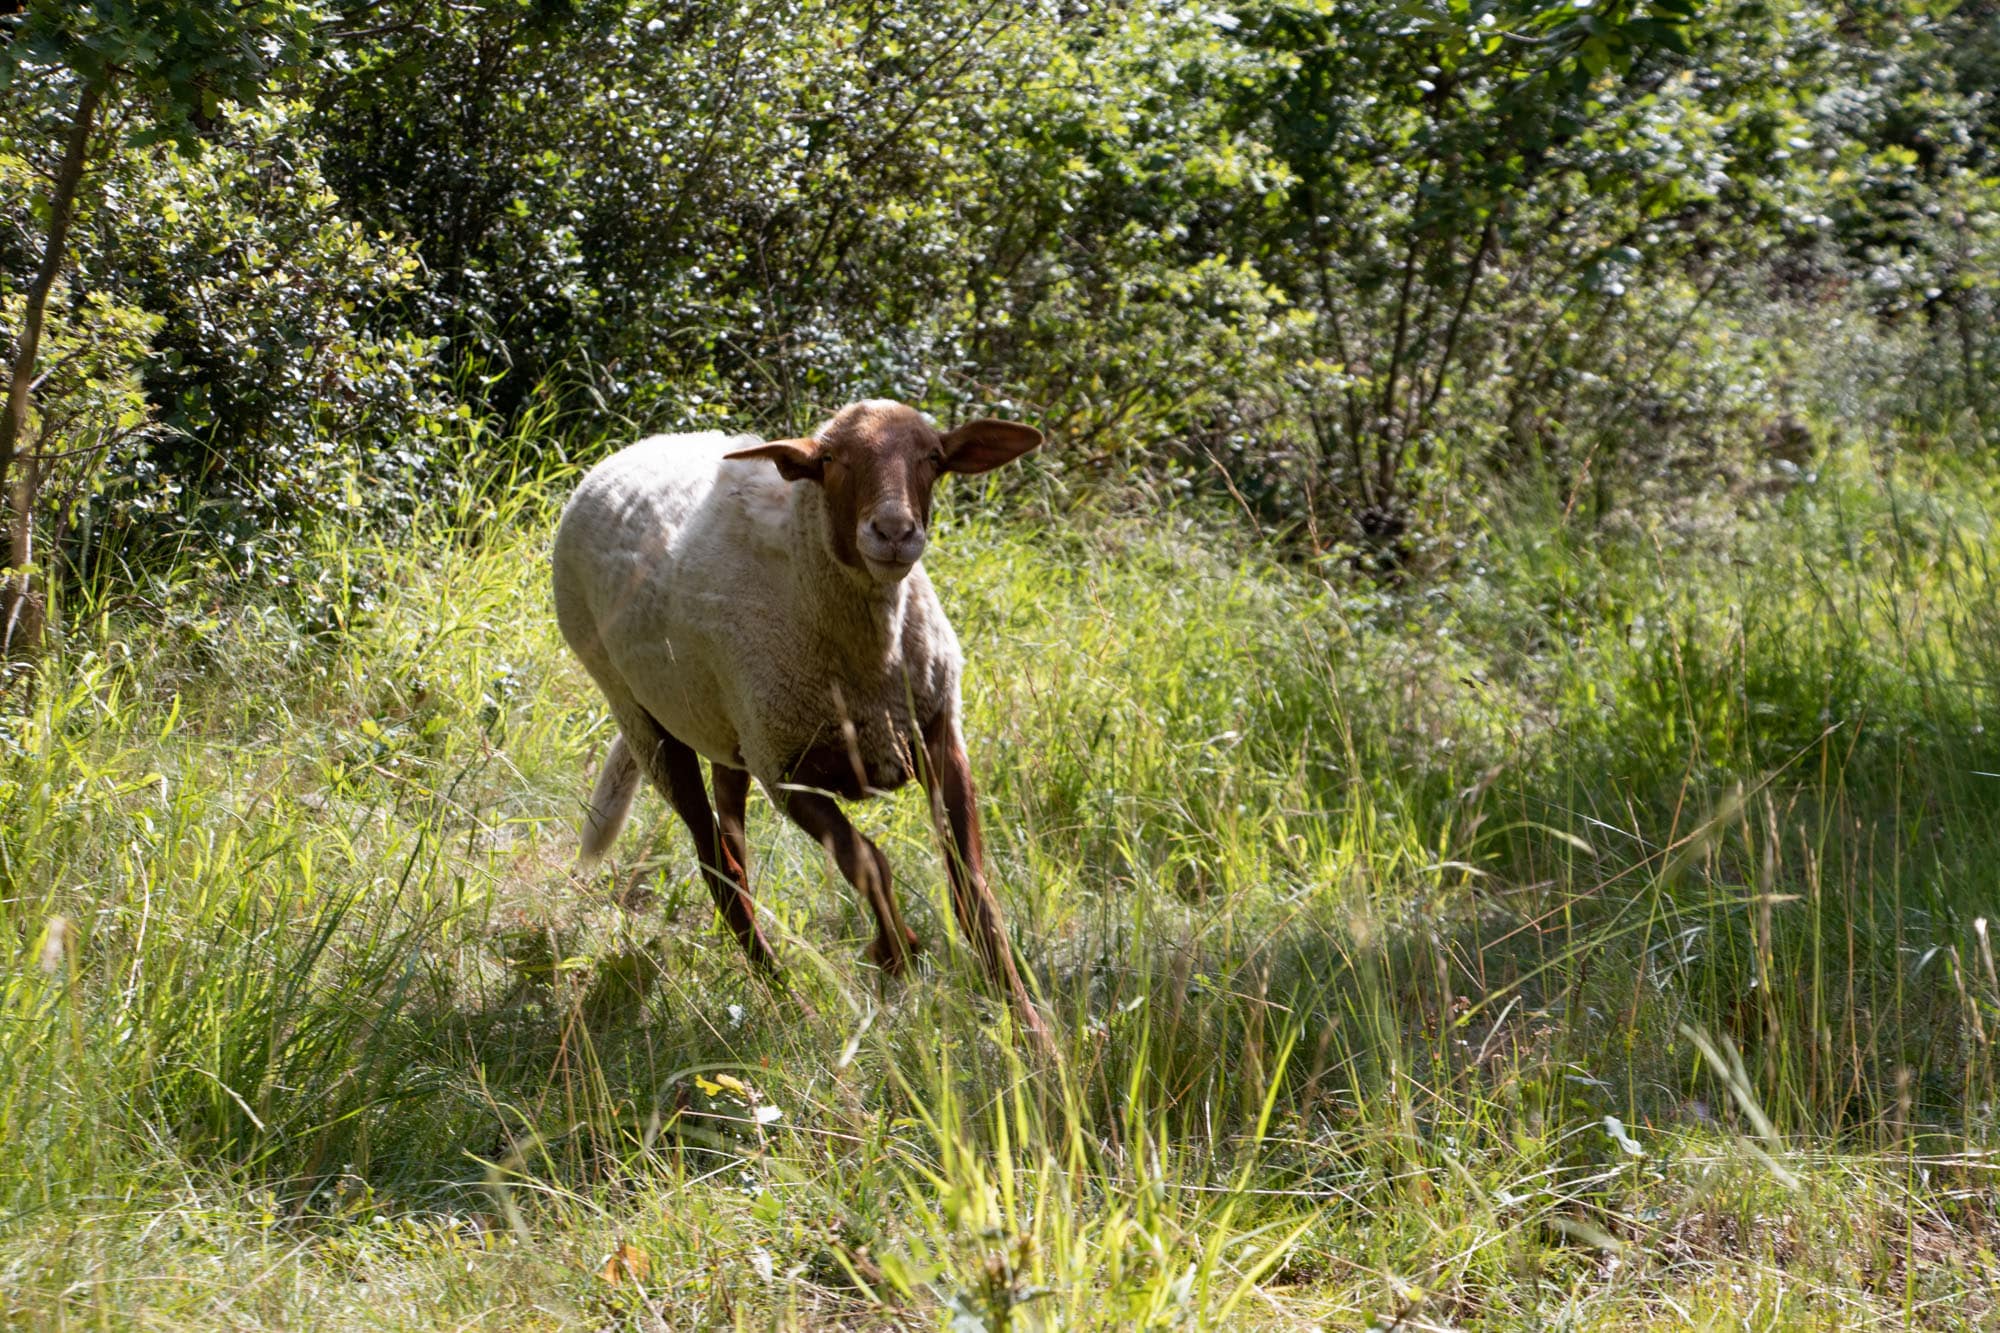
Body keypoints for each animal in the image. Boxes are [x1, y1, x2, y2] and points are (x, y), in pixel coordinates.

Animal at [551, 399, 1050, 1043]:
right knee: (716, 864)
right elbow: (866, 863)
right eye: (831, 459)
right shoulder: (785, 770)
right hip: (640, 715)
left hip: (725, 727)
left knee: (732, 843)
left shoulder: (939, 737)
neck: (866, 663)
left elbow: (973, 890)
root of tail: (629, 451)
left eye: (934, 458)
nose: (894, 532)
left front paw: (1032, 1032)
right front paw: (897, 953)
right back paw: (790, 1001)